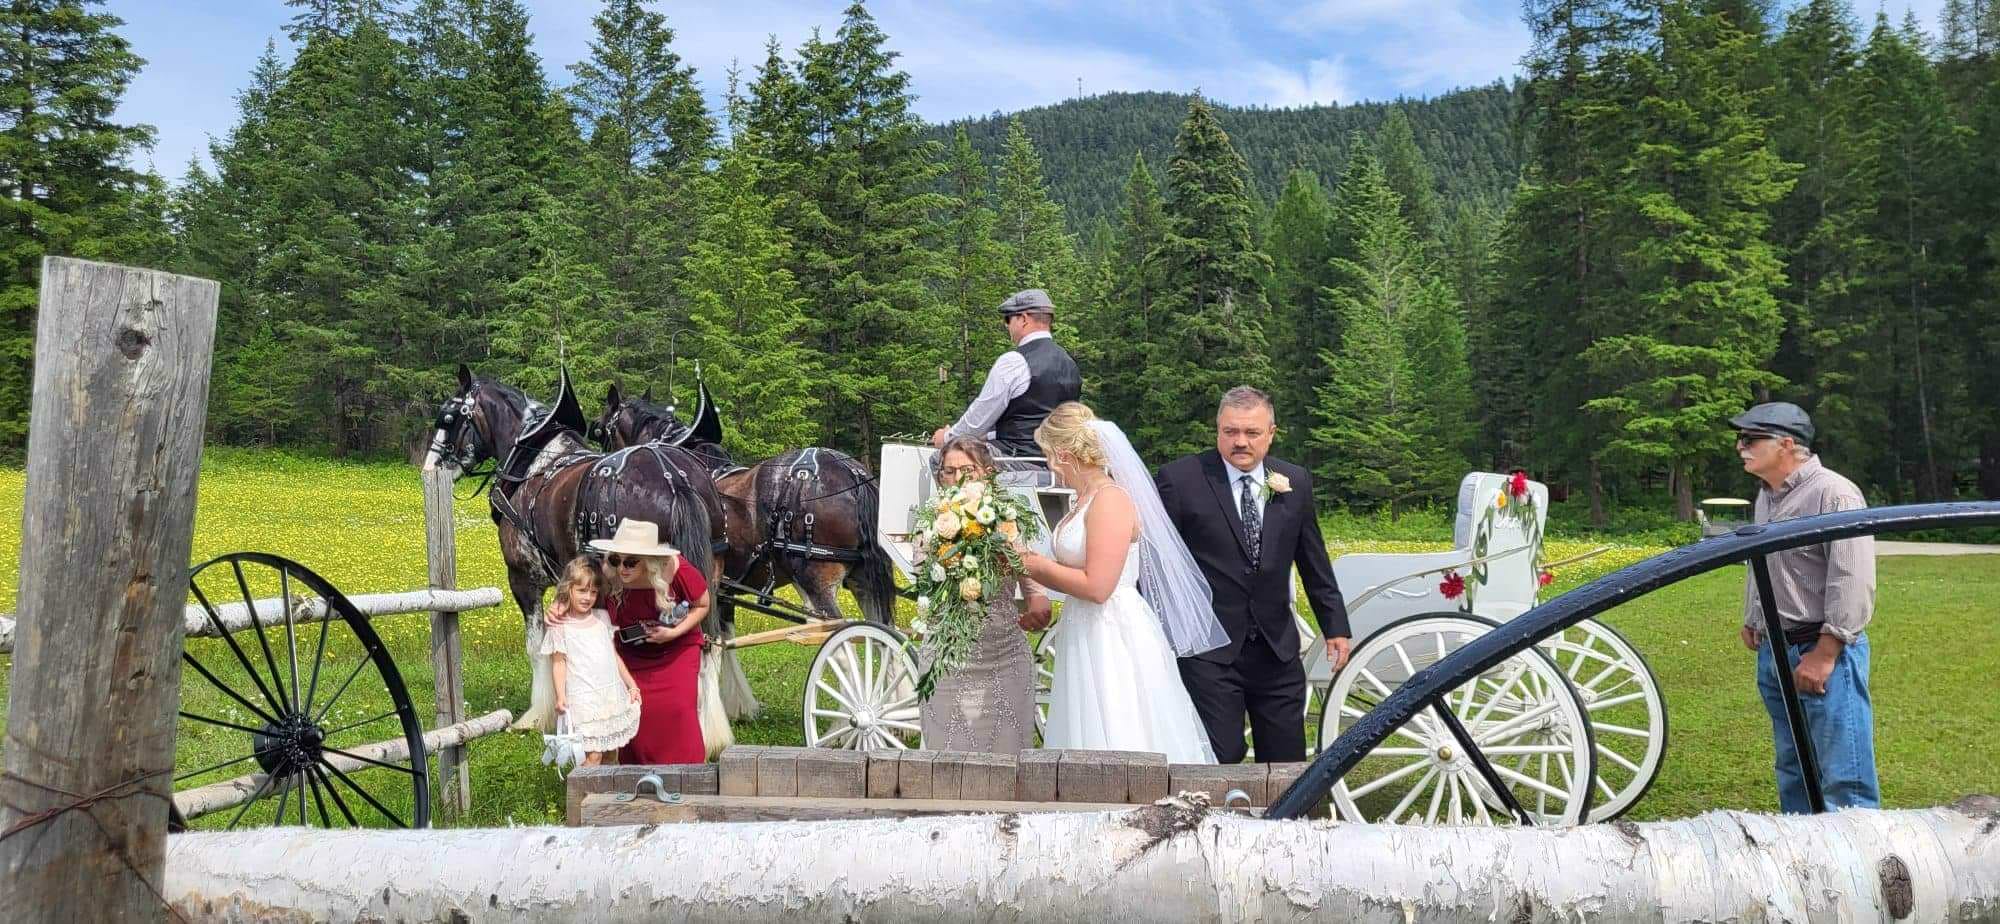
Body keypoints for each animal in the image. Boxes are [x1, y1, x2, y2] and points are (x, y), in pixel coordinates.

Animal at [424, 364, 744, 732]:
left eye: (447, 417)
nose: (428, 467)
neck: (535, 462)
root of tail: (673, 478)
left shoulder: (523, 577)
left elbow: (538, 646)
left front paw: (539, 714)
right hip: (709, 574)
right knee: (708, 644)